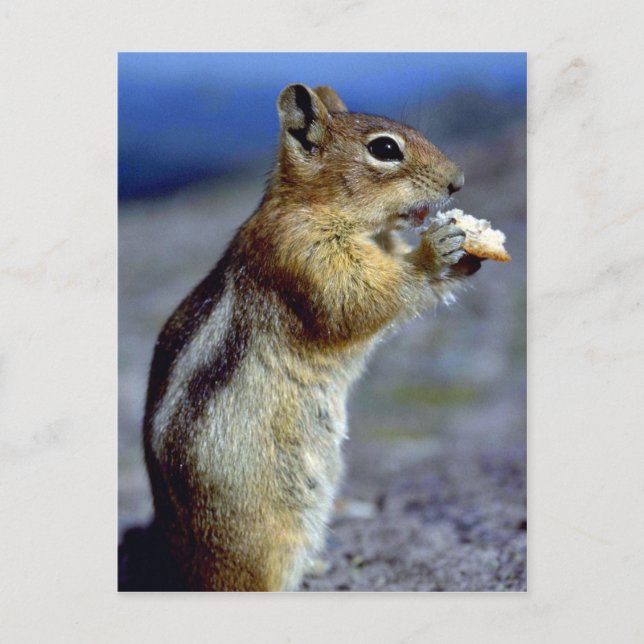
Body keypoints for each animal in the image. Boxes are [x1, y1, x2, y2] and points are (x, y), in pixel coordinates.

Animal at [143, 83, 482, 591]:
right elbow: (358, 300)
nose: (457, 182)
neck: (318, 207)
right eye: (385, 149)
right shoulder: (303, 254)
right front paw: (435, 250)